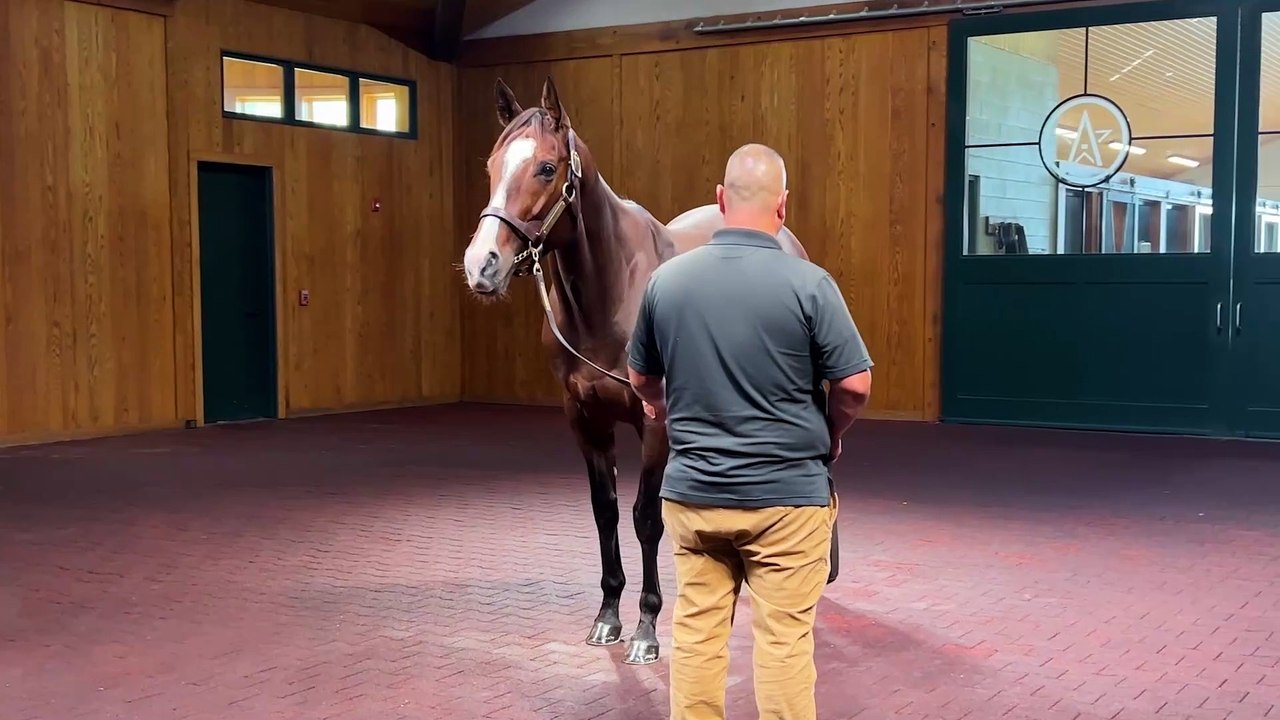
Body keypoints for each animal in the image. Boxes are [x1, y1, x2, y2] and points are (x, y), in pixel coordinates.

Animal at [459, 76, 826, 666]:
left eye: (546, 168)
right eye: (492, 165)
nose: (482, 265)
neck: (612, 295)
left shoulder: (656, 422)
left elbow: (646, 517)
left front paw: (647, 628)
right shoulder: (584, 418)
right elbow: (605, 511)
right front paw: (608, 615)